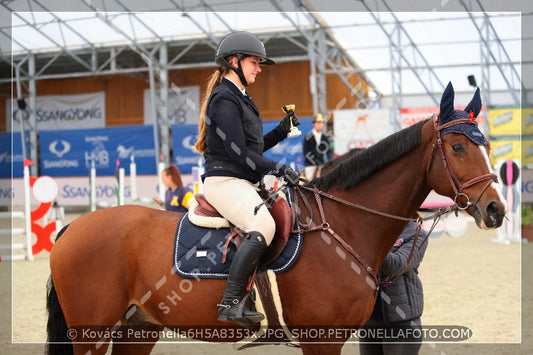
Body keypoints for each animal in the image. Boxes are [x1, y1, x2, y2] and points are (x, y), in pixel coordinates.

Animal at [46, 84, 508, 355]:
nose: (496, 210)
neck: (343, 226)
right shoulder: (322, 341)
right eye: (458, 148)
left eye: (484, 146)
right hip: (90, 333)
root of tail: (73, 228)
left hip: (137, 329)